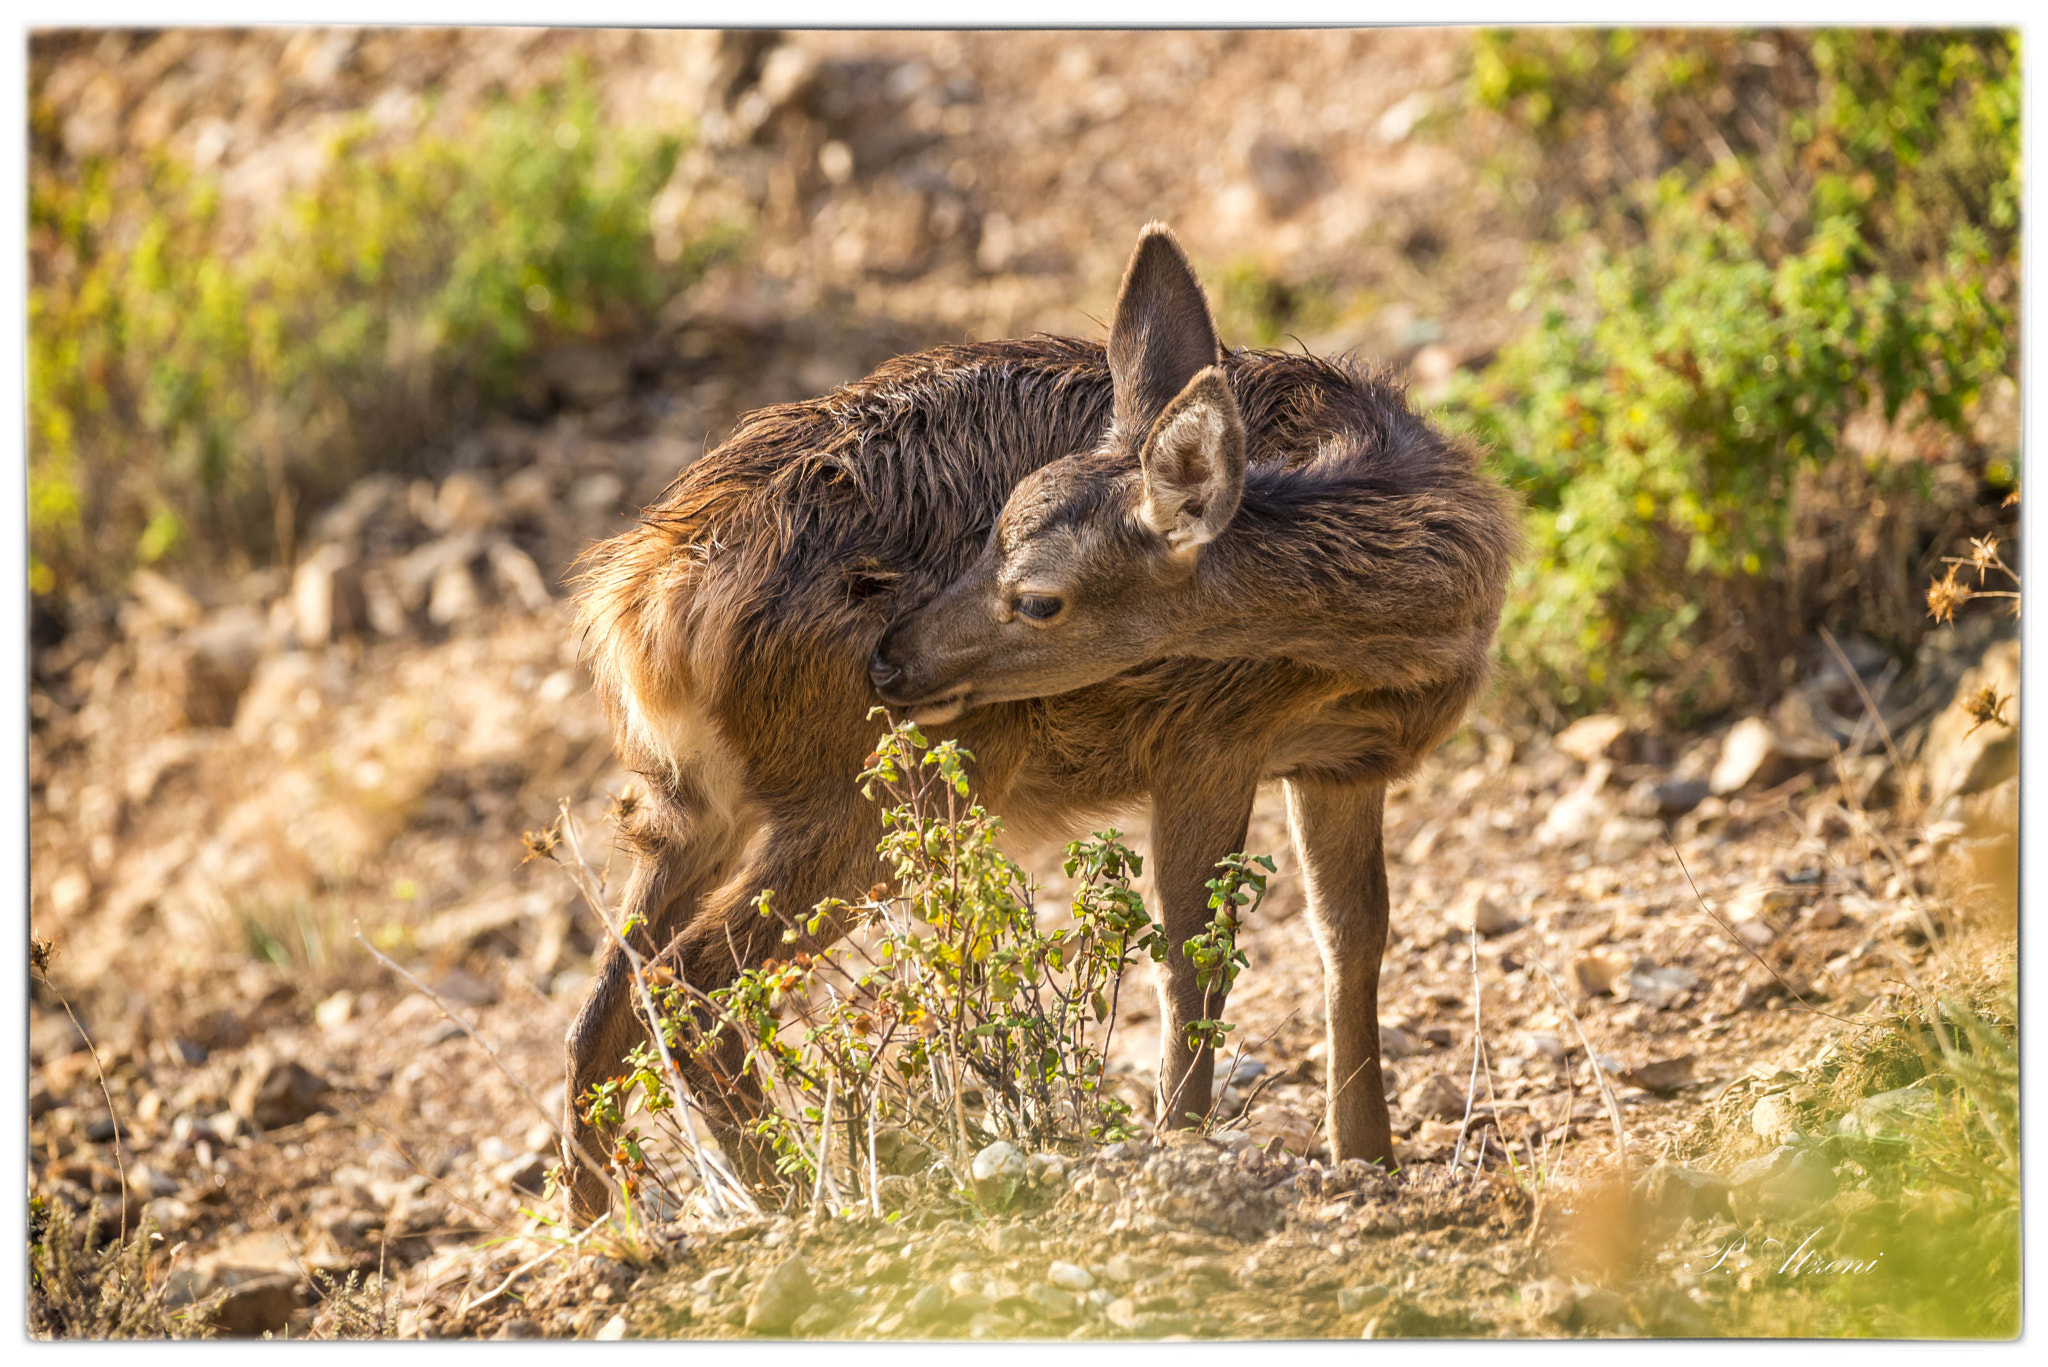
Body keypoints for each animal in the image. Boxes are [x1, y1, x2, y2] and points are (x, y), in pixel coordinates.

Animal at [562, 222, 1517, 1220]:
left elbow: (1352, 938)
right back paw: (794, 1199)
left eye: (1039, 597)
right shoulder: (1206, 737)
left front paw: (1371, 1159)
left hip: (691, 801)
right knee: (688, 980)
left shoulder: (1342, 762)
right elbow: (1194, 956)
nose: (892, 660)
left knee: (604, 1010)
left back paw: (611, 1226)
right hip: (883, 787)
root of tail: (641, 601)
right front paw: (1183, 1147)